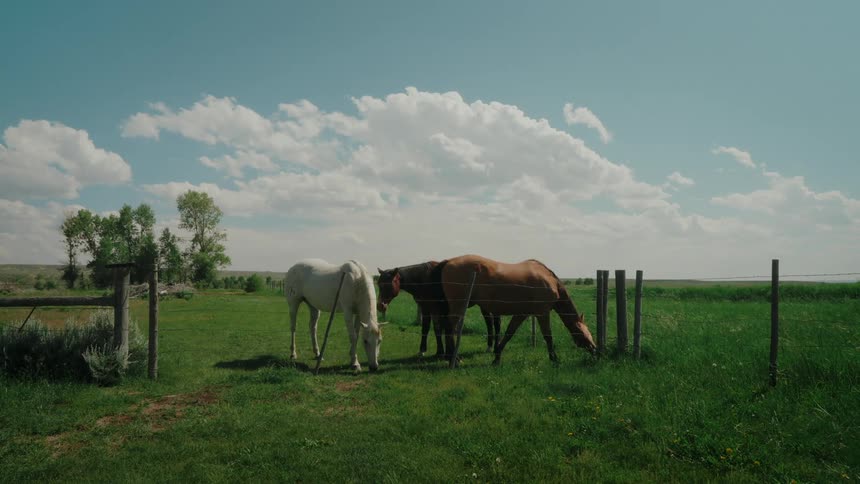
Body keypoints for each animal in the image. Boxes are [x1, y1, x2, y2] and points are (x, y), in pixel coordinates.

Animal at [438, 254, 596, 365]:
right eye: (583, 334)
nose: (595, 350)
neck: (550, 280)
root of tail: (448, 262)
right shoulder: (542, 314)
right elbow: (548, 336)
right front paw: (554, 359)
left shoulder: (522, 314)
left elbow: (509, 333)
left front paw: (497, 357)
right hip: (459, 306)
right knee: (450, 328)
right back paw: (455, 359)